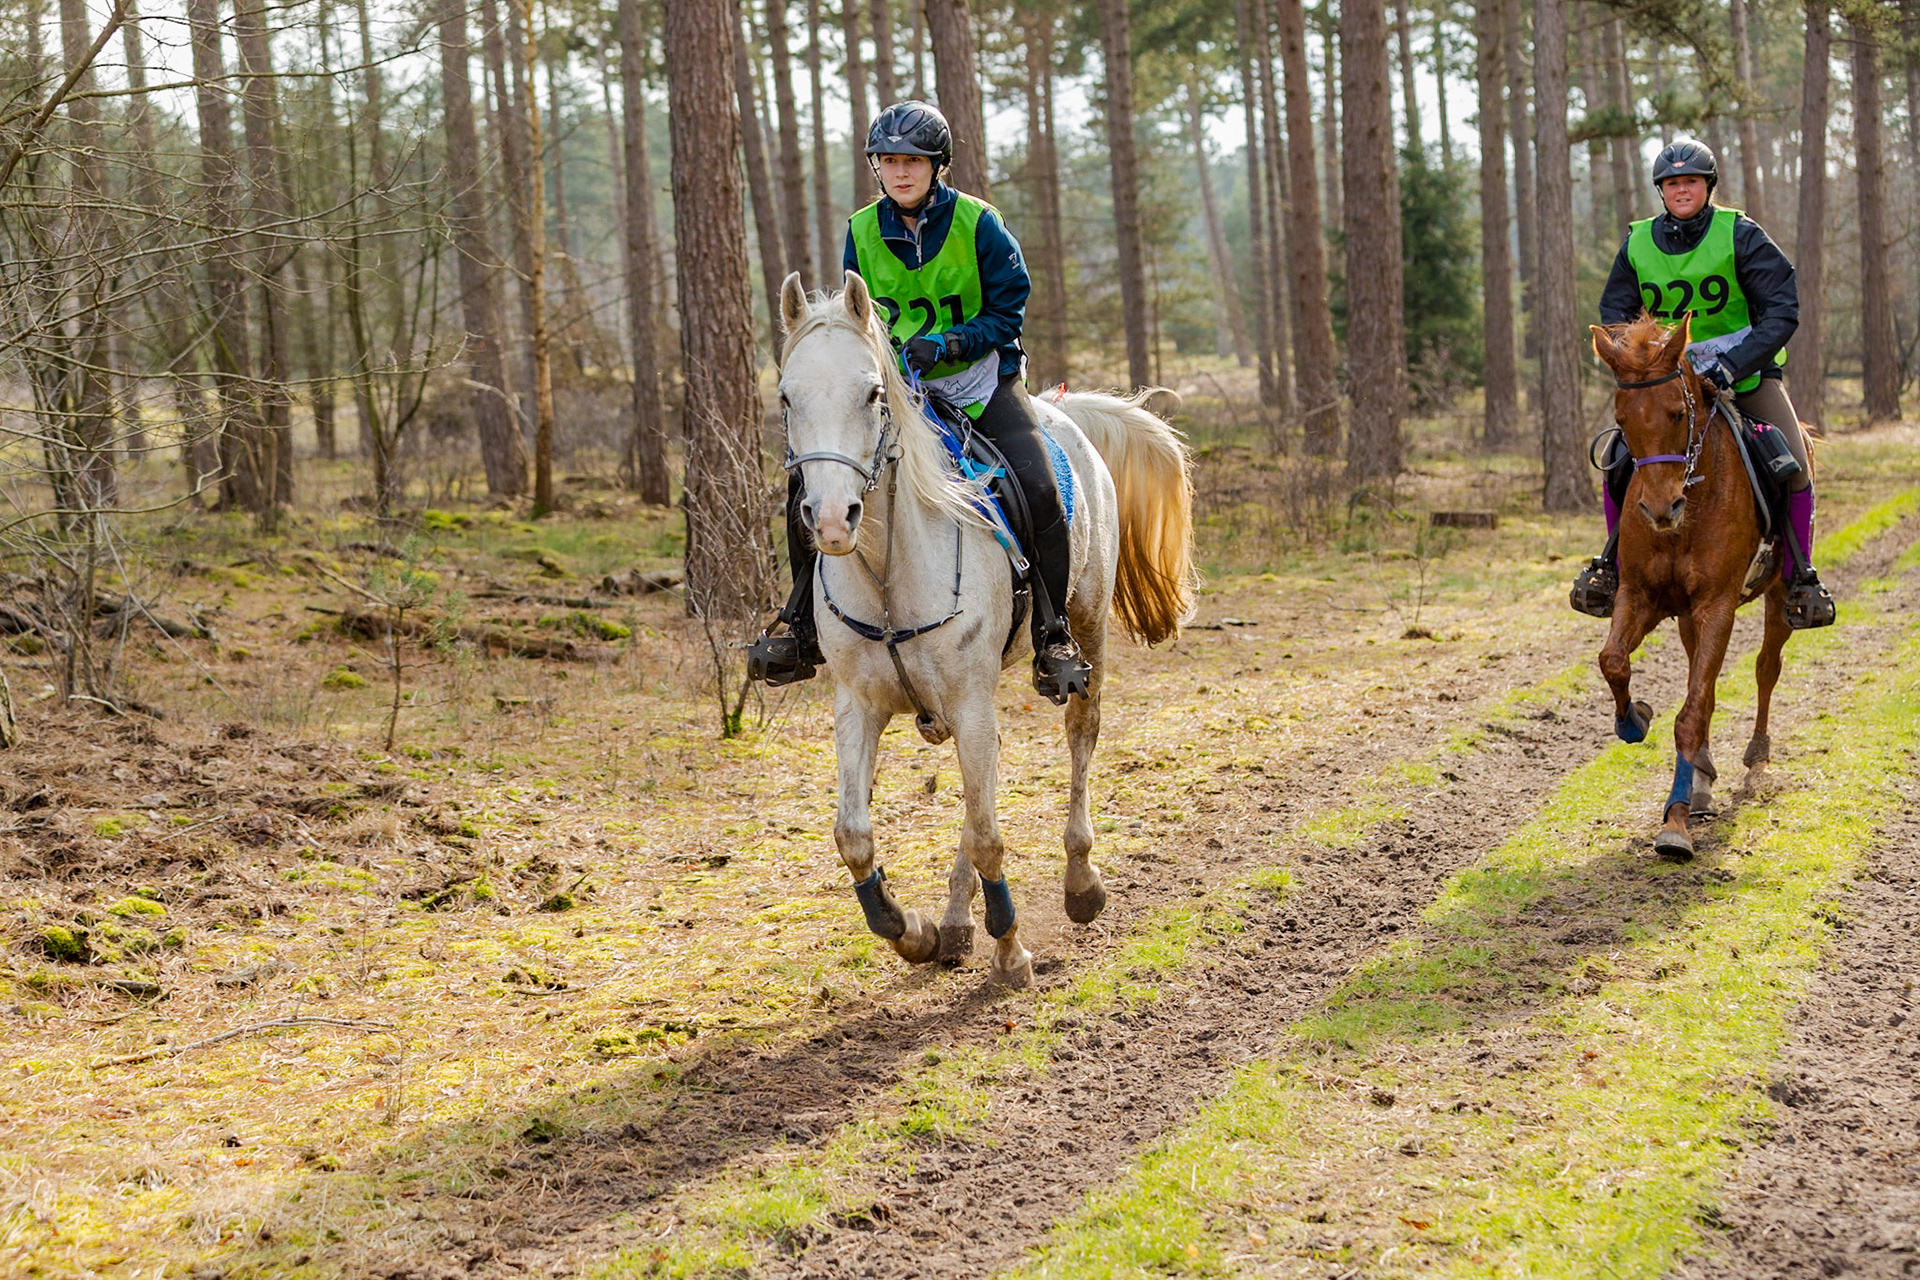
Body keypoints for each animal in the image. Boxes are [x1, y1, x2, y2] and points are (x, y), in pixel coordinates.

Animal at [776, 271, 1197, 986]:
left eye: (873, 392)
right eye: (786, 396)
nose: (832, 519)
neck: (889, 575)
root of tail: (1065, 412)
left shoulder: (970, 701)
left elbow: (987, 834)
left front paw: (1011, 950)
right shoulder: (860, 704)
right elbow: (855, 836)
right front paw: (911, 931)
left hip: (1084, 630)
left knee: (1081, 732)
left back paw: (1080, 882)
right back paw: (951, 921)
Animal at [1588, 313, 1796, 859]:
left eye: (1677, 413)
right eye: (1622, 420)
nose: (1662, 509)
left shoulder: (1717, 606)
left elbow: (1694, 709)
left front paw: (1676, 824)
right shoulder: (1641, 596)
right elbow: (1613, 661)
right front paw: (1634, 718)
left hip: (1778, 596)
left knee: (1766, 668)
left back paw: (1756, 758)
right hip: (1683, 615)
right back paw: (1701, 781)